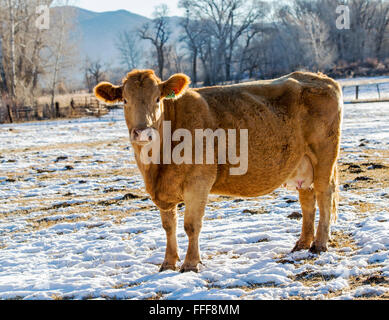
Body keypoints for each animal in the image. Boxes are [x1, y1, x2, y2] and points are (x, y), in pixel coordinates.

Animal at [94, 69, 342, 272]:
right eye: (125, 100)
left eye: (157, 99)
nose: (143, 133)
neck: (156, 166)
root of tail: (320, 77)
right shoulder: (164, 193)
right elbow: (168, 226)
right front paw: (168, 263)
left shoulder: (198, 182)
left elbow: (191, 225)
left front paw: (190, 264)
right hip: (302, 163)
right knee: (307, 200)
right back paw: (302, 243)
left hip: (324, 156)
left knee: (324, 194)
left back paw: (319, 244)